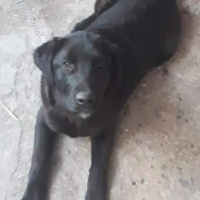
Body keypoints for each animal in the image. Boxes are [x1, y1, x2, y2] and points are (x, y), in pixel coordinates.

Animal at [21, 0, 181, 199]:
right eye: (67, 64)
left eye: (100, 66)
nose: (86, 99)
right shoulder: (44, 118)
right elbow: (39, 159)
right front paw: (32, 193)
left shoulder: (105, 128)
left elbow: (98, 167)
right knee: (95, 13)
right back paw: (80, 26)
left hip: (166, 51)